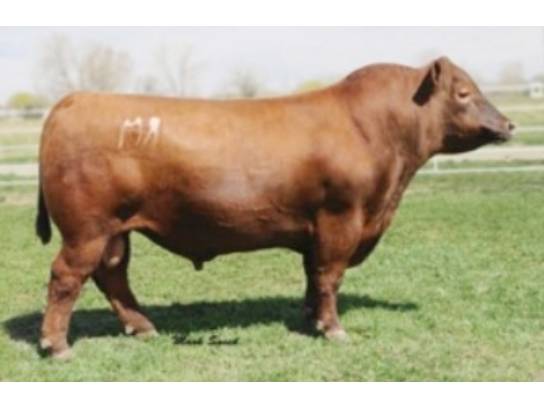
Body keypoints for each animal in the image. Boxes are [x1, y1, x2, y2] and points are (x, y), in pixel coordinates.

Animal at [36, 57, 514, 358]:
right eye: (464, 92)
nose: (509, 124)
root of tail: (74, 99)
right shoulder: (342, 218)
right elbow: (330, 276)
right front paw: (334, 330)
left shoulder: (316, 229)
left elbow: (312, 277)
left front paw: (312, 320)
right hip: (86, 229)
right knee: (66, 277)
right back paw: (56, 346)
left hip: (114, 231)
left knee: (112, 275)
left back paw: (143, 328)